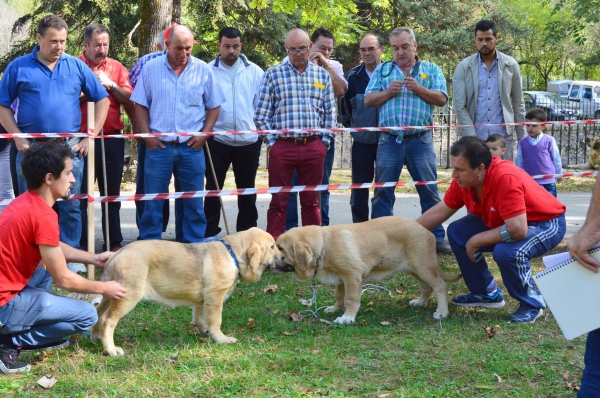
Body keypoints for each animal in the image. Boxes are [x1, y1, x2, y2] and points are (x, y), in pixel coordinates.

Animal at [91, 229, 284, 356]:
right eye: (272, 247)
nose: (283, 257)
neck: (233, 254)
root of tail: (116, 255)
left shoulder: (201, 301)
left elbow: (200, 318)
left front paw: (204, 332)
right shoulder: (215, 297)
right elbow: (216, 321)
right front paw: (221, 339)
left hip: (109, 295)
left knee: (98, 313)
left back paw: (95, 337)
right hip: (128, 296)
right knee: (107, 320)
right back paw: (111, 349)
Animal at [274, 218, 462, 324]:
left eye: (280, 248)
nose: (270, 260)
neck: (324, 246)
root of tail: (429, 233)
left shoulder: (352, 276)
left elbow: (350, 299)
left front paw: (347, 317)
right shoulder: (341, 278)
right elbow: (339, 295)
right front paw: (335, 308)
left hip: (423, 266)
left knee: (440, 286)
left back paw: (442, 312)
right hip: (415, 269)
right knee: (427, 287)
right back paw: (420, 302)